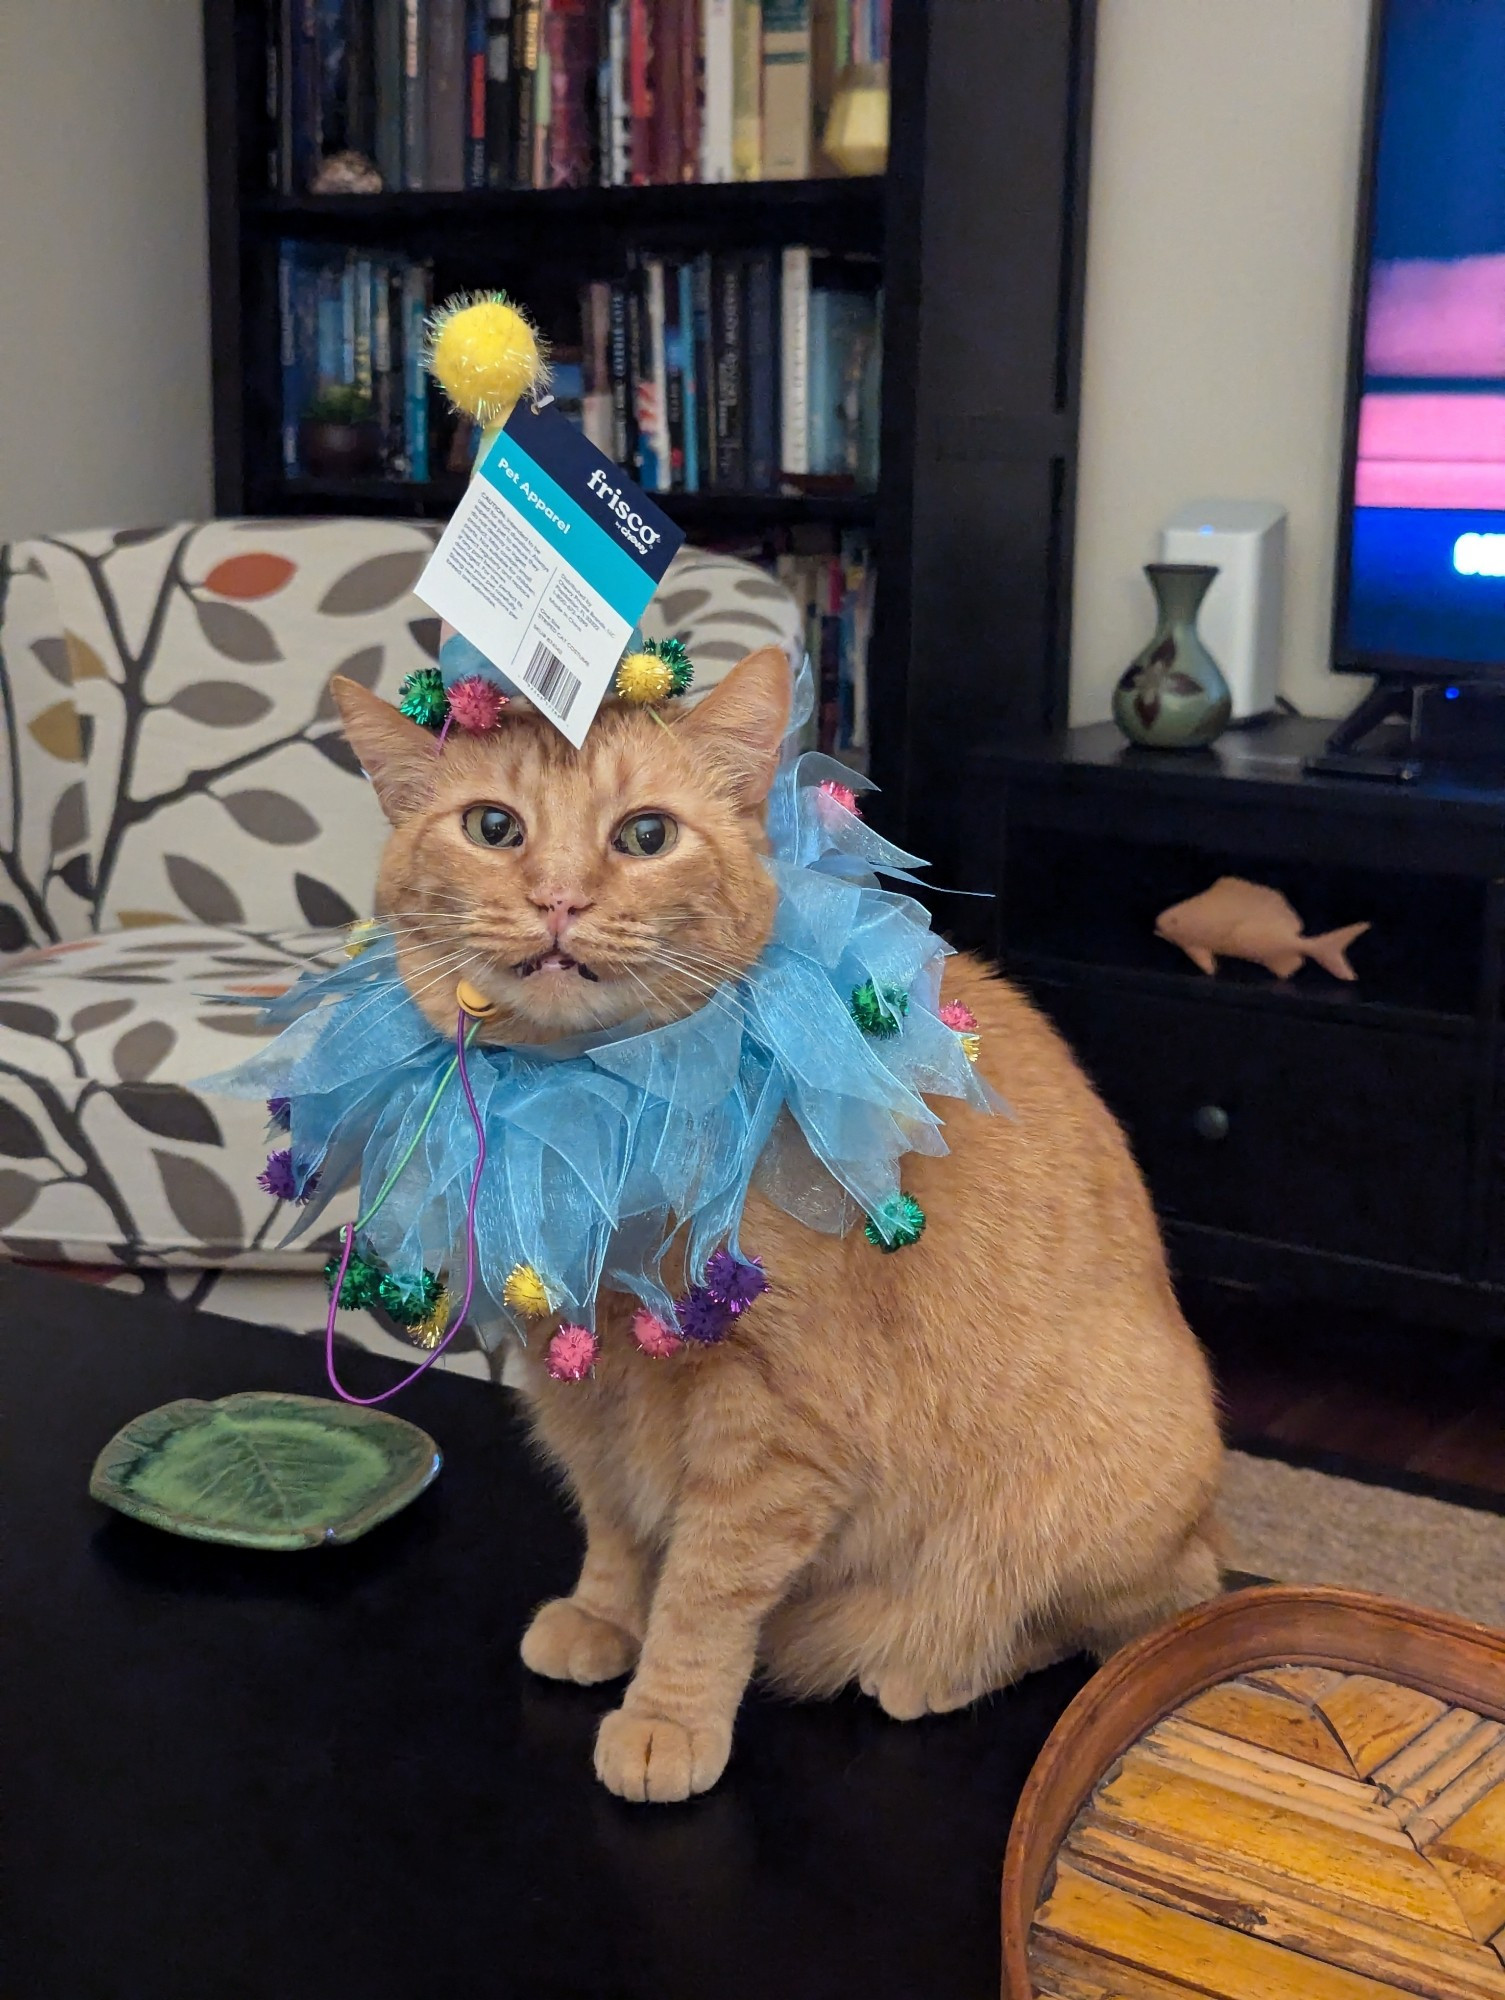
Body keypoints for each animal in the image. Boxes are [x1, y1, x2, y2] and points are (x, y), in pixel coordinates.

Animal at [332, 648, 1224, 1808]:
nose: (559, 899)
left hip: (1098, 1511)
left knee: (1094, 1624)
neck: (599, 1103)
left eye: (646, 836)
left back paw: (924, 1662)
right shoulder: (580, 1386)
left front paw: (666, 1716)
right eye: (493, 827)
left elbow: (706, 1588)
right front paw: (607, 1617)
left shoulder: (776, 1427)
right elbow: (617, 1525)